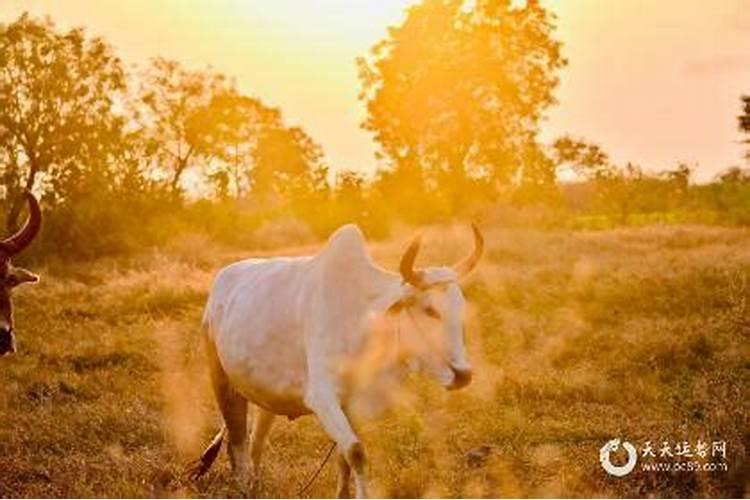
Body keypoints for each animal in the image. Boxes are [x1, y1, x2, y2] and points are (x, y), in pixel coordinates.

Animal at [191, 224, 484, 496]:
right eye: (430, 310)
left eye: (461, 307)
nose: (463, 374)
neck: (364, 321)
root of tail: (219, 284)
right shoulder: (322, 398)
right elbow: (356, 452)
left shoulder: (352, 403)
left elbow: (344, 458)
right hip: (223, 383)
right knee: (238, 443)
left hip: (266, 396)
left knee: (255, 443)